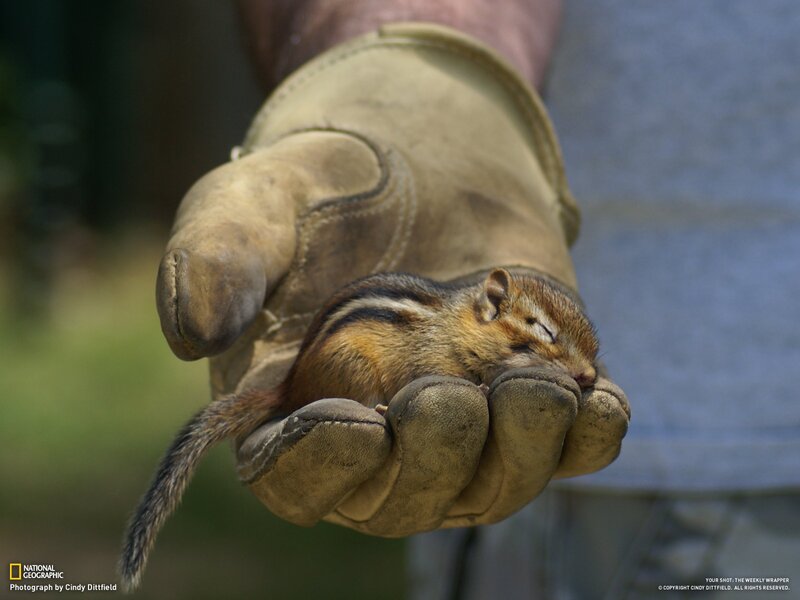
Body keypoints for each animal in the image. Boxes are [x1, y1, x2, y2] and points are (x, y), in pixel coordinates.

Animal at [119, 268, 599, 590]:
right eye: (543, 329)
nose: (589, 377)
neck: (457, 329)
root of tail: (292, 385)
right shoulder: (428, 358)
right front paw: (479, 385)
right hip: (352, 368)